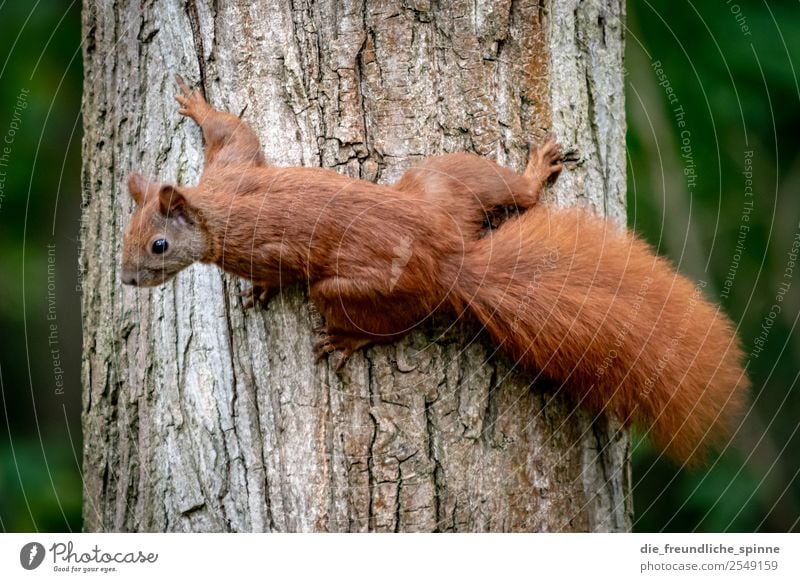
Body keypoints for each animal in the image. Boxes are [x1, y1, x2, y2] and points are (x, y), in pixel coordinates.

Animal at [122, 76, 748, 466]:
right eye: (125, 235)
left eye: (158, 245)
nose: (127, 280)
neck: (214, 210)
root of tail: (453, 263)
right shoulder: (231, 168)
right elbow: (233, 131)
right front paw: (198, 107)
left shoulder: (258, 233)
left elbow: (274, 259)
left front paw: (258, 291)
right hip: (442, 184)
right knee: (508, 192)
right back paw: (532, 173)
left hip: (357, 288)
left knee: (393, 321)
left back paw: (347, 341)